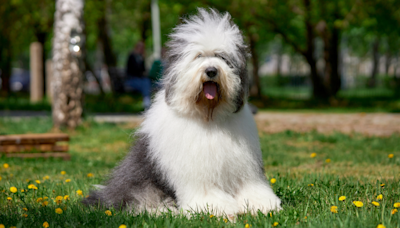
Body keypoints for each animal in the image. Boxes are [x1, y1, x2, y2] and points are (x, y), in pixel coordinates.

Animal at [83, 7, 282, 217]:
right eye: (198, 56)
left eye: (222, 57)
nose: (211, 71)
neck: (208, 116)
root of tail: (106, 195)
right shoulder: (196, 171)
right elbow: (206, 190)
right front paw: (218, 207)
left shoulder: (244, 167)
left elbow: (250, 186)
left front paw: (263, 203)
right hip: (138, 184)